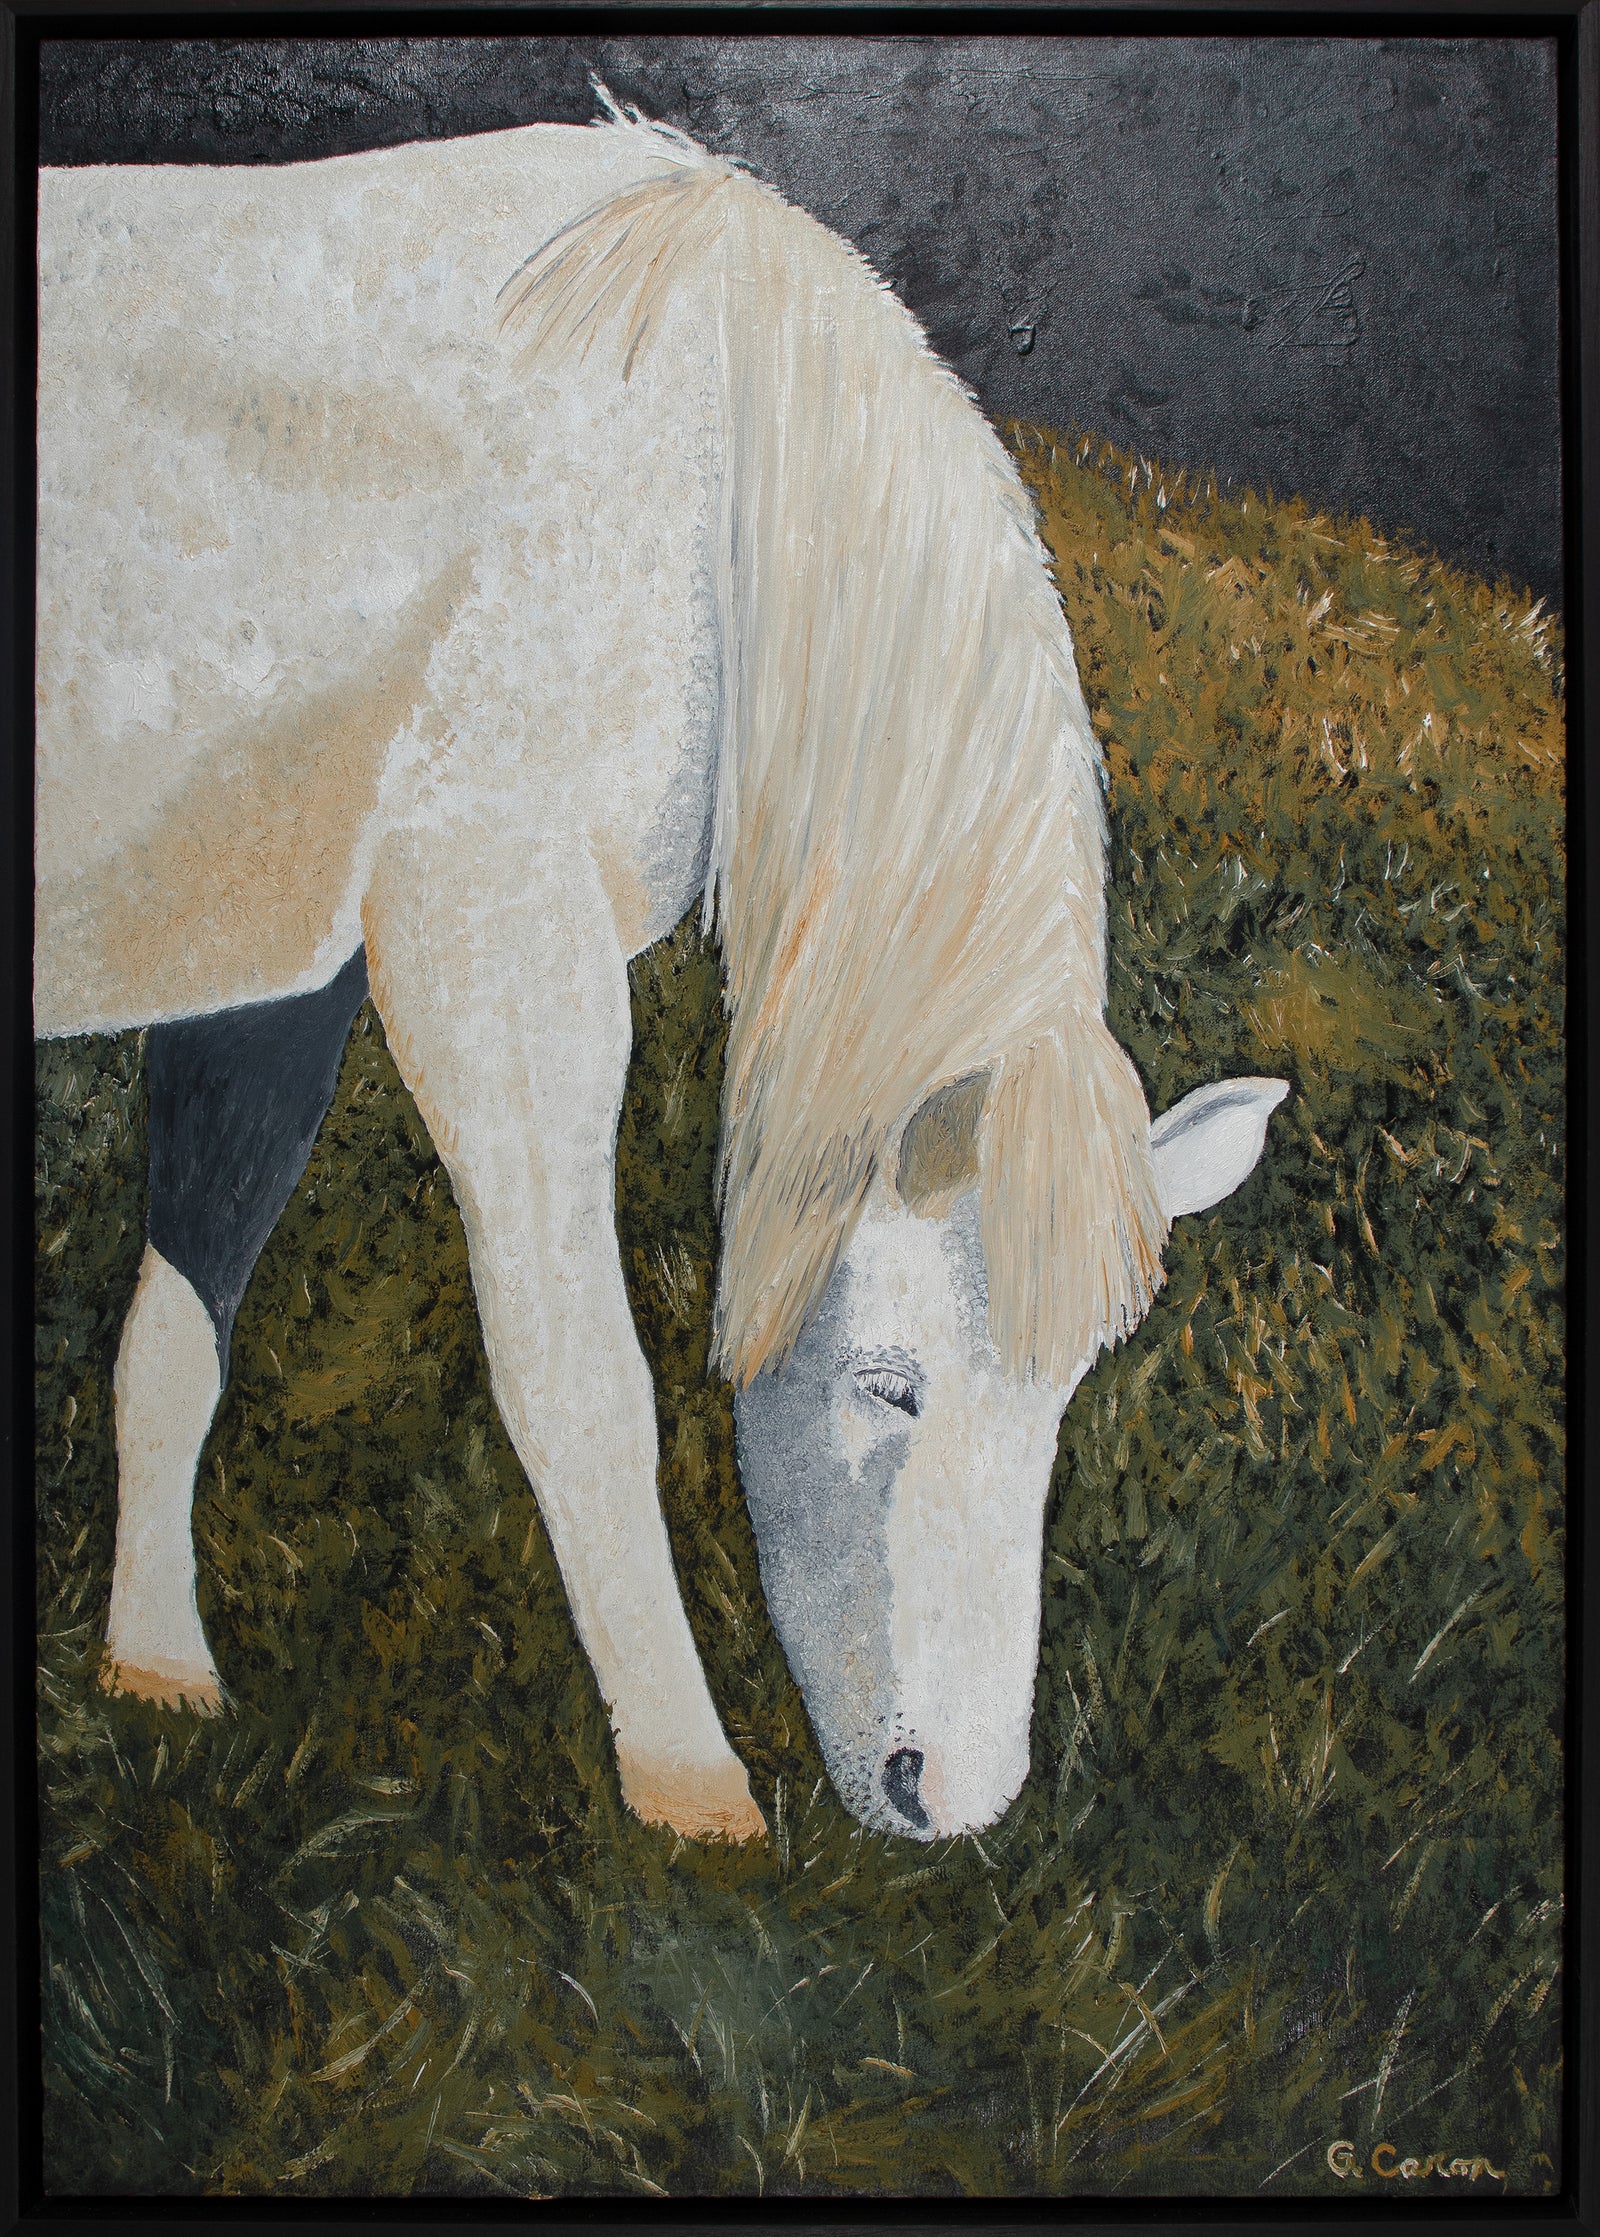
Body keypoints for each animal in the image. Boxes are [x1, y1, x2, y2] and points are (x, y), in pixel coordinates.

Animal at [35, 93, 1288, 1845]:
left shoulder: (276, 978)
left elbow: (179, 1324)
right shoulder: (496, 944)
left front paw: (153, 1667)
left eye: (1063, 1404)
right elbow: (581, 1388)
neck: (694, 484)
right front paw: (692, 1790)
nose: (954, 1797)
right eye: (893, 1385)